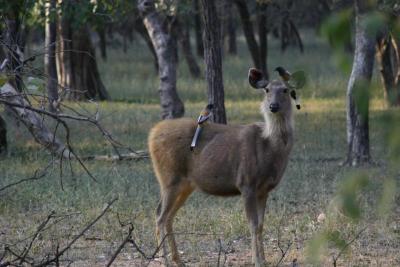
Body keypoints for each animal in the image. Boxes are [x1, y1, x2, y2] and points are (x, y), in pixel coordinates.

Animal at [149, 68, 296, 266]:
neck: (269, 147)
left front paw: (263, 260)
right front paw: (257, 260)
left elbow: (261, 225)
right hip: (169, 177)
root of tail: (152, 134)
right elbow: (253, 224)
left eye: (285, 90)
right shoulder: (246, 182)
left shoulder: (264, 189)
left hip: (186, 184)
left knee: (168, 216)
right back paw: (165, 261)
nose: (273, 106)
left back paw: (178, 260)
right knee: (159, 215)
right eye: (266, 90)